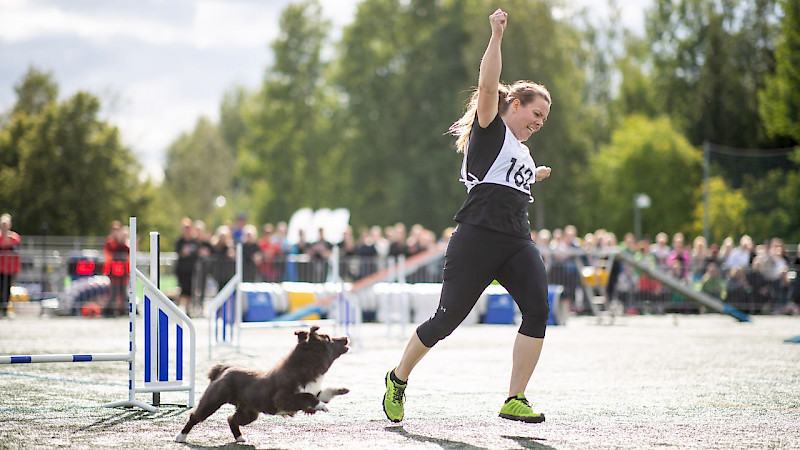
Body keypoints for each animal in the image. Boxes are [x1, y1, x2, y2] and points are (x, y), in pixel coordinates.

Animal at [177, 326, 348, 442]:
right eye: (328, 338)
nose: (346, 338)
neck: (307, 368)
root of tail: (224, 369)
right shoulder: (283, 398)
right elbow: (307, 396)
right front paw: (323, 406)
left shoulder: (312, 396)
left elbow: (322, 393)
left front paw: (342, 390)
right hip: (213, 400)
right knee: (195, 416)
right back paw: (181, 437)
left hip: (249, 412)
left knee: (231, 419)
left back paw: (240, 438)